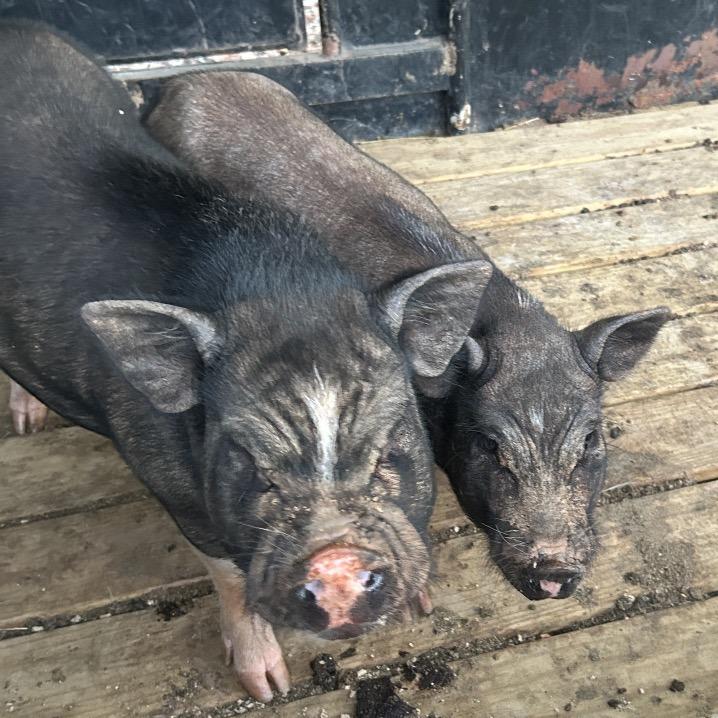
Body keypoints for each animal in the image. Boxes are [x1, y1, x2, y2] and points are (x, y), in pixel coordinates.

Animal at [0, 24, 493, 701]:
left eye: (391, 448)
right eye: (253, 468)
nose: (337, 562)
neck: (280, 290)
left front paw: (420, 606)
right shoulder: (169, 482)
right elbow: (227, 573)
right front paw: (267, 687)